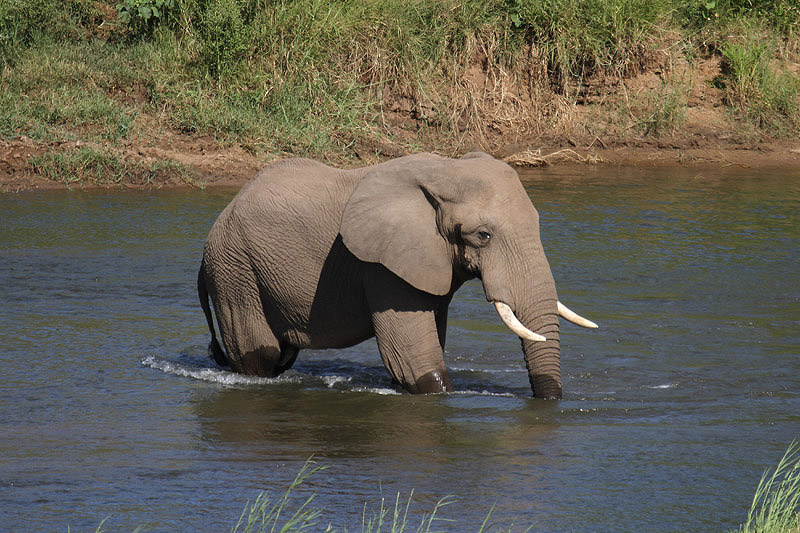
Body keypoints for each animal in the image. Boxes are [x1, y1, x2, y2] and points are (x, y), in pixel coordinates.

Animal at [197, 152, 597, 399]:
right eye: (483, 235)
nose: (547, 404)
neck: (445, 171)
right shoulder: (382, 266)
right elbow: (413, 359)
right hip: (234, 270)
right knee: (260, 356)